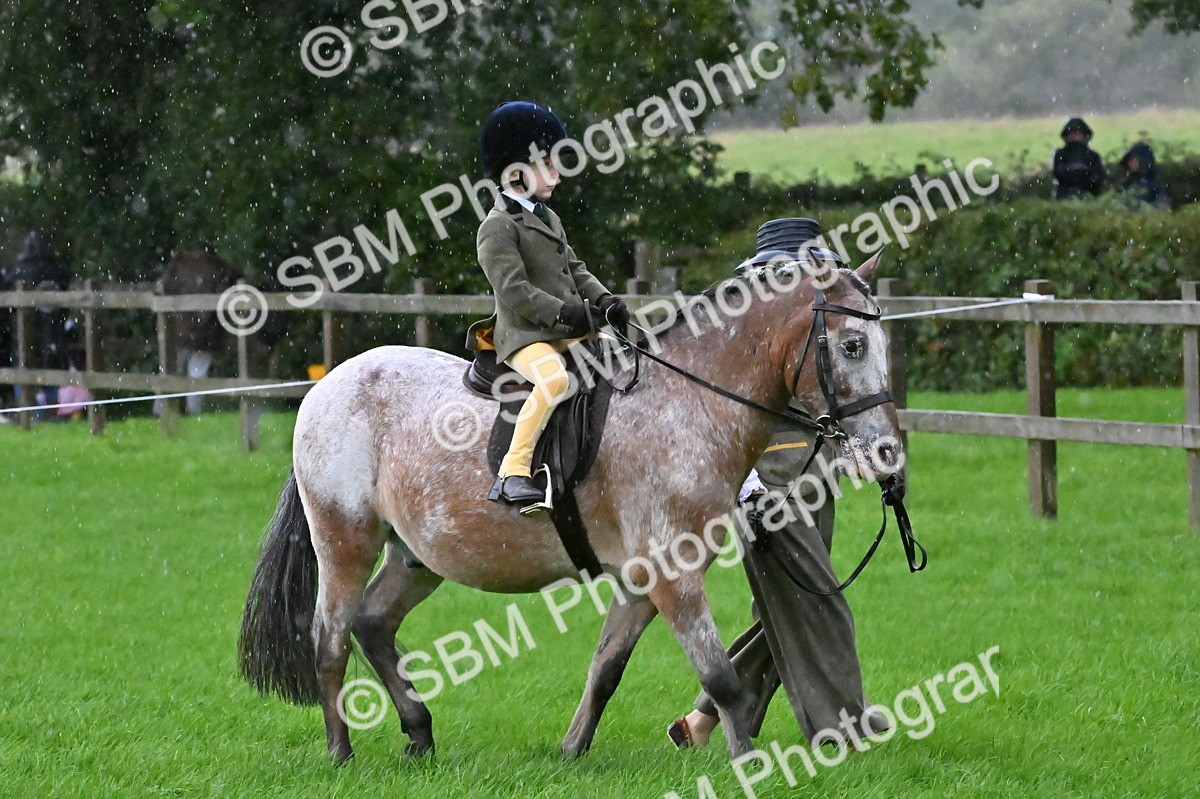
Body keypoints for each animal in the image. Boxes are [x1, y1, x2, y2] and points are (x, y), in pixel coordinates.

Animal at [237, 253, 903, 763]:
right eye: (852, 344)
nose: (887, 453)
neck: (686, 403)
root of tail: (328, 385)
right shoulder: (674, 575)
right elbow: (723, 680)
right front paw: (749, 766)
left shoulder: (642, 581)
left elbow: (606, 668)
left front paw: (570, 752)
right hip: (346, 540)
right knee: (330, 639)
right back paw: (341, 752)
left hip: (415, 556)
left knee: (374, 625)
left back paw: (419, 736)